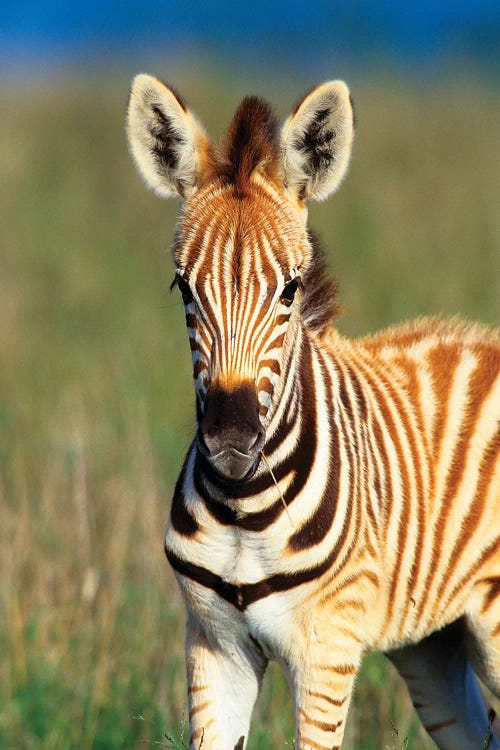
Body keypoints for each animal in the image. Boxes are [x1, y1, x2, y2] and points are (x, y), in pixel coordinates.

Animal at [126, 73, 500, 748]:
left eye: (290, 290)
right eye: (184, 288)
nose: (230, 437)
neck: (242, 511)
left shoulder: (327, 648)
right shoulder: (213, 646)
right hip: (434, 644)